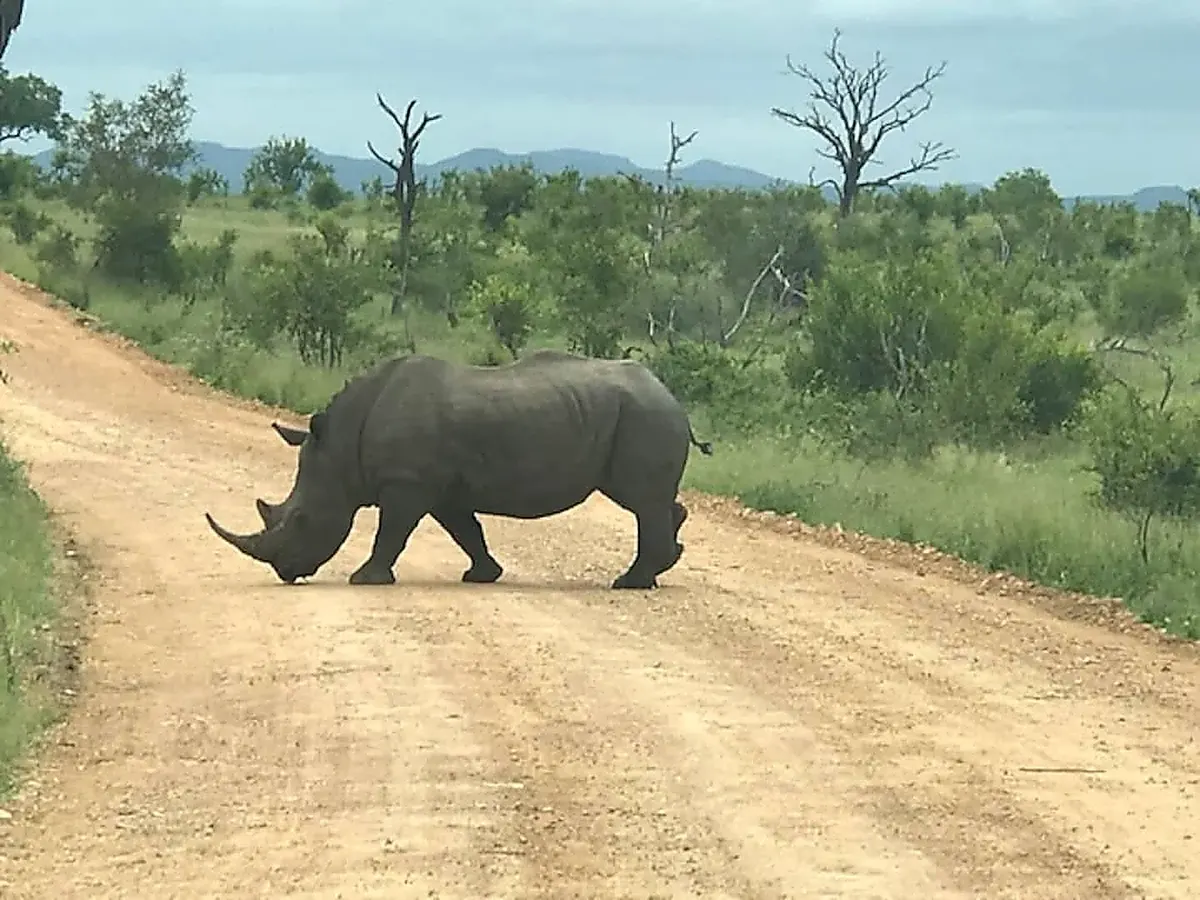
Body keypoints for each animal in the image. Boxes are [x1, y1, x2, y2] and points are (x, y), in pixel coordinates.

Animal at [204, 349, 713, 589]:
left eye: (303, 520)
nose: (285, 572)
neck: (342, 446)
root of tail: (674, 398)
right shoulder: (440, 488)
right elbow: (466, 531)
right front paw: (483, 575)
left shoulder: (407, 484)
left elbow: (391, 534)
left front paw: (365, 579)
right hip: (641, 414)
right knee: (651, 501)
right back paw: (661, 566)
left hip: (645, 416)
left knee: (639, 501)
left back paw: (630, 583)